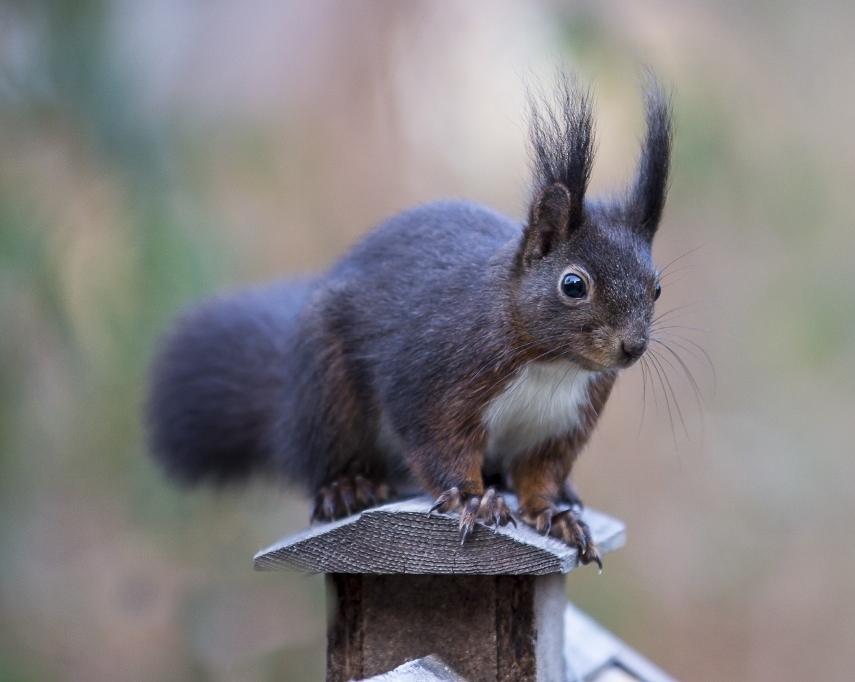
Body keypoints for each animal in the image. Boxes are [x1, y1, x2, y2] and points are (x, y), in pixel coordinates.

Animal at [145, 71, 676, 564]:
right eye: (573, 285)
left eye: (656, 288)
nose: (632, 347)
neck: (550, 365)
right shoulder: (434, 373)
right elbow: (436, 442)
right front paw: (473, 499)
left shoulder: (564, 423)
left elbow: (540, 474)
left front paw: (552, 514)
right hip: (326, 390)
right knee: (322, 456)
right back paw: (346, 487)